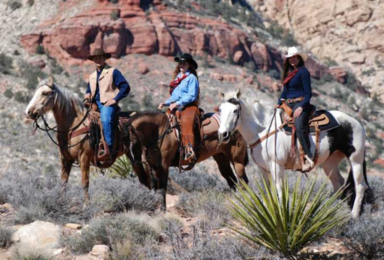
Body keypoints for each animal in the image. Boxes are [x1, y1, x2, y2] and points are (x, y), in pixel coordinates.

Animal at [219, 89, 372, 217]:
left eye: (235, 110)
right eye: (220, 109)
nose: (222, 134)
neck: (263, 130)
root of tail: (358, 124)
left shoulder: (277, 166)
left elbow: (279, 190)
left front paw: (280, 214)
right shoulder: (263, 169)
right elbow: (268, 191)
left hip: (355, 160)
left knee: (360, 186)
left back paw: (353, 216)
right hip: (330, 163)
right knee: (339, 184)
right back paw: (331, 210)